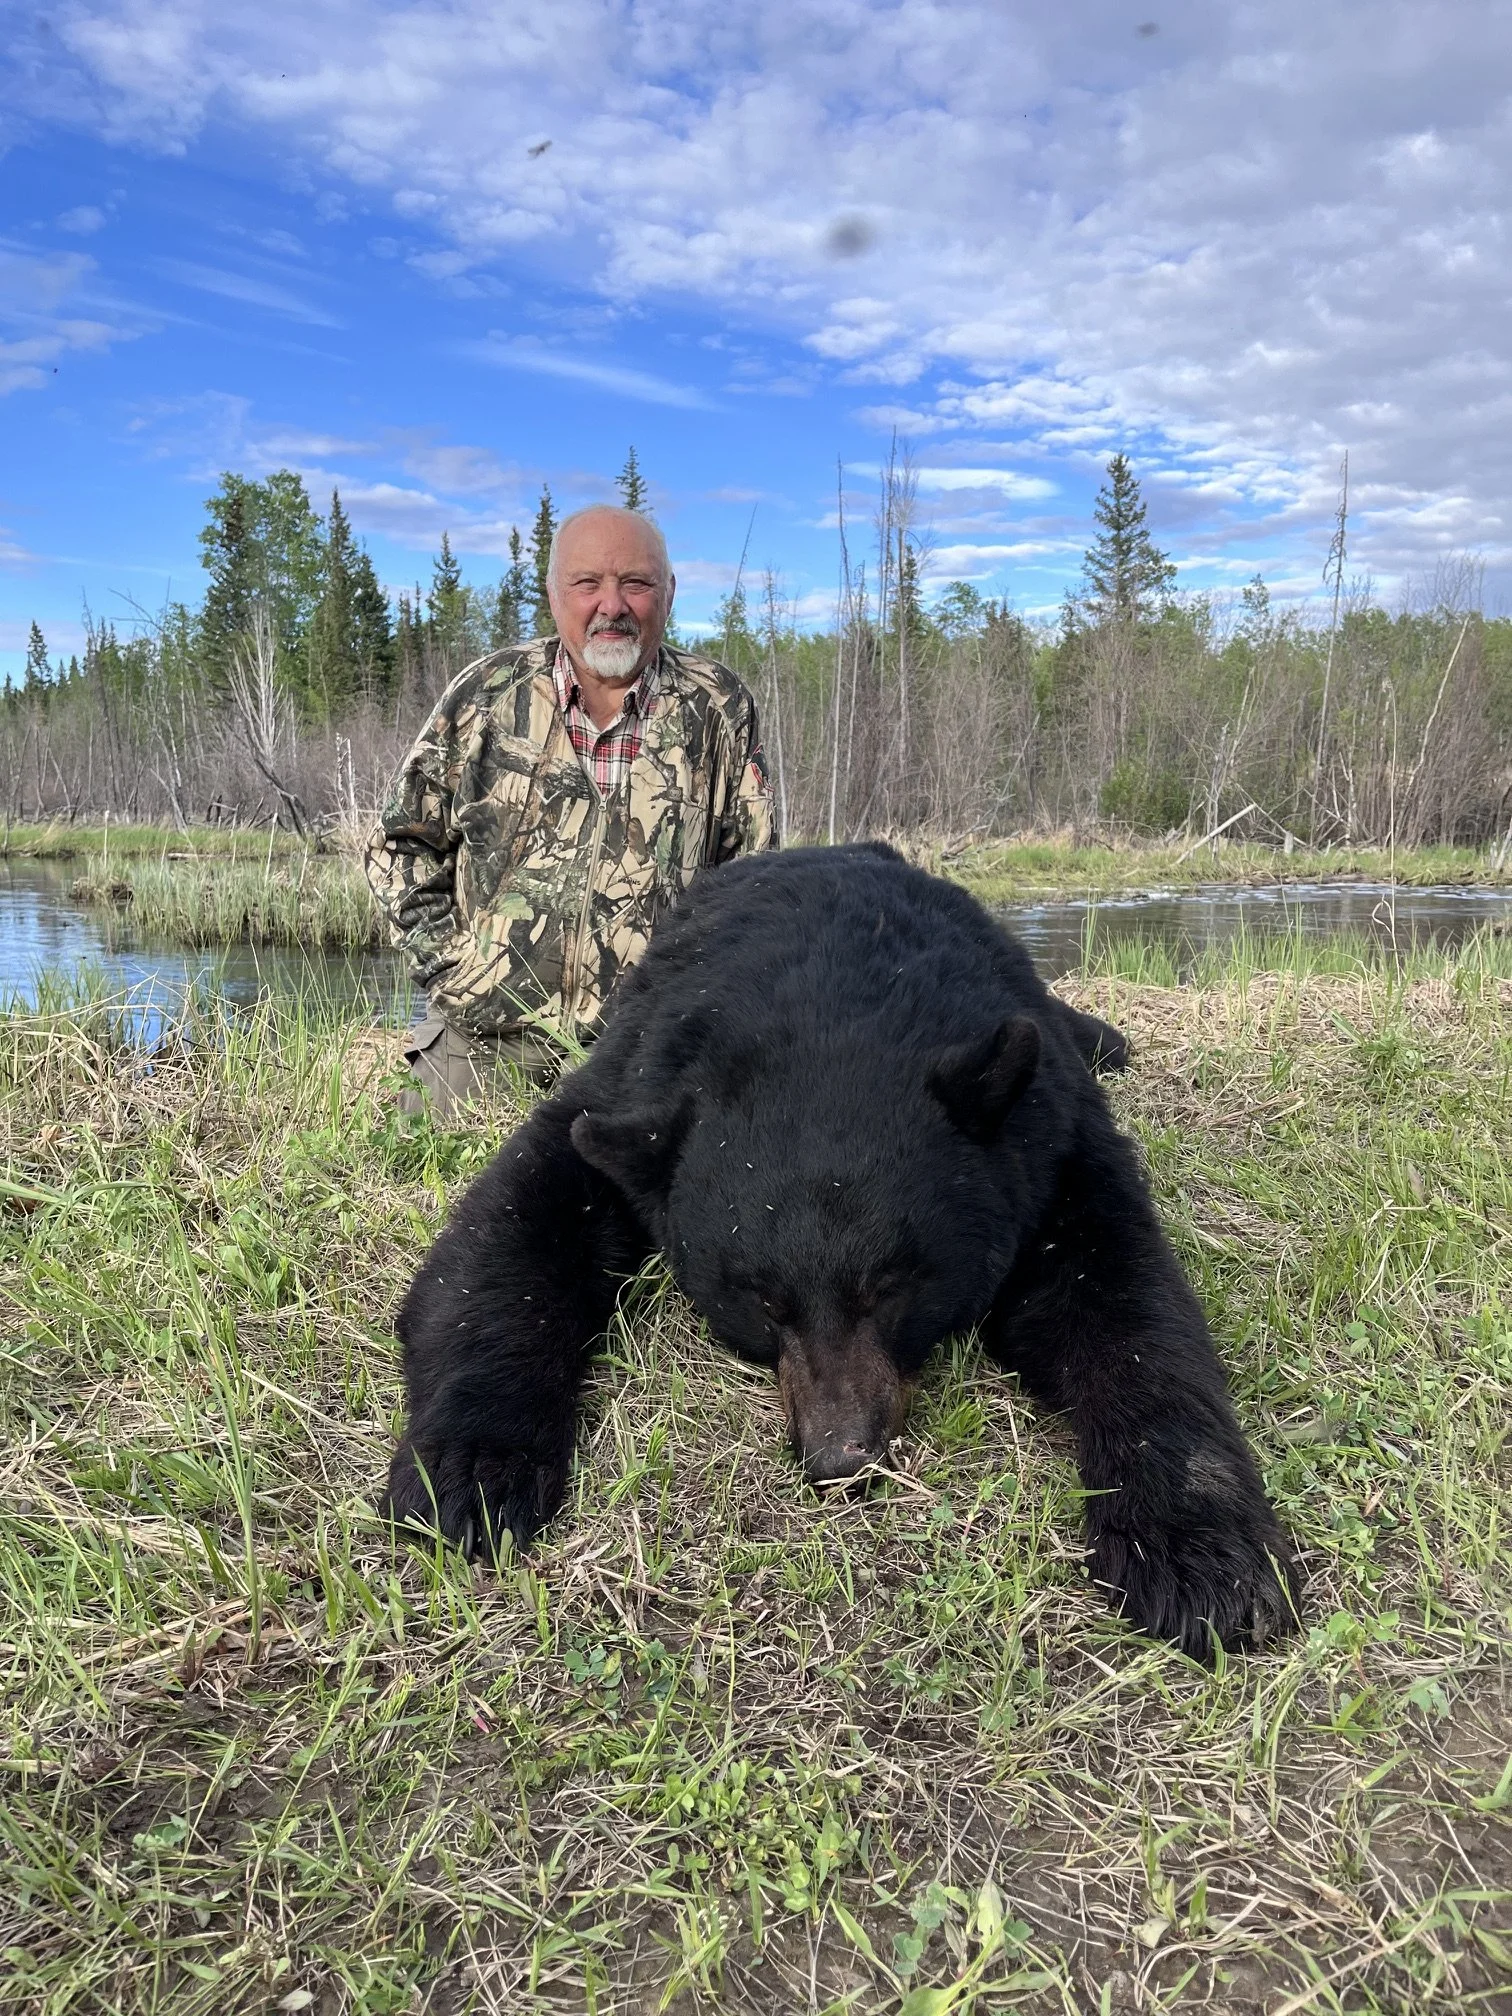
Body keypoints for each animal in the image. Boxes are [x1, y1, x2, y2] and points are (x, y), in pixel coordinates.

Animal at [384, 843, 1299, 1657]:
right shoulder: (624, 1089)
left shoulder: (1050, 1134)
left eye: (891, 1286)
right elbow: (506, 1238)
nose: (839, 1458)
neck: (830, 1001)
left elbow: (1122, 1300)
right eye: (762, 1303)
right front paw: (472, 1470)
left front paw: (1198, 1551)